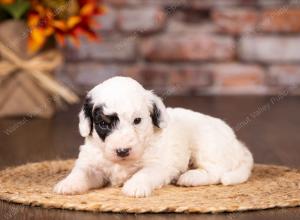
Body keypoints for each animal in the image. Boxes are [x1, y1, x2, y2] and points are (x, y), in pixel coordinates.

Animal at [54, 76, 253, 197]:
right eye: (103, 123)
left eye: (137, 120)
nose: (122, 151)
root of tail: (238, 144)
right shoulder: (91, 162)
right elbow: (81, 171)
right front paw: (67, 184)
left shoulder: (159, 165)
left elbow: (145, 172)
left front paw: (134, 186)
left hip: (207, 145)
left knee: (217, 172)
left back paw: (190, 177)